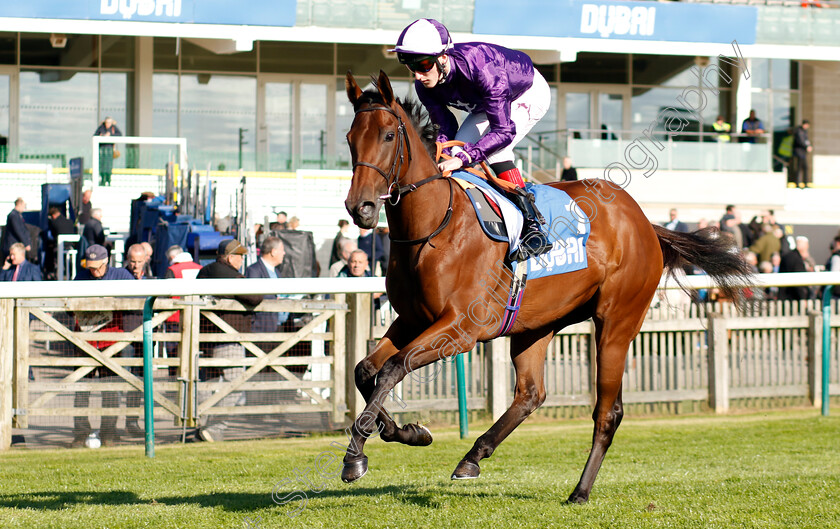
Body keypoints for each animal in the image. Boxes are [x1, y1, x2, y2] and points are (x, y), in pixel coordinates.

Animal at [342, 71, 756, 504]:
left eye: (389, 135)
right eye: (350, 137)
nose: (361, 208)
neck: (434, 227)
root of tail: (645, 222)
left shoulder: (461, 328)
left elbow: (392, 368)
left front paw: (356, 456)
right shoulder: (412, 319)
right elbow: (365, 370)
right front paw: (405, 432)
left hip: (617, 321)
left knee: (607, 411)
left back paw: (580, 491)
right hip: (535, 325)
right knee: (531, 394)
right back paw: (473, 456)